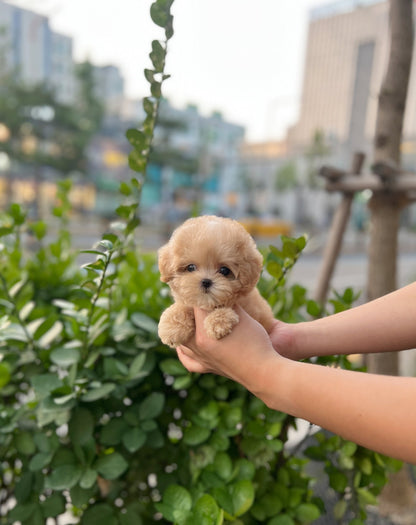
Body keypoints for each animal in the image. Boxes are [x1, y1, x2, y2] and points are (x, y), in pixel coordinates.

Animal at [158, 215, 274, 350]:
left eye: (224, 270)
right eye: (191, 267)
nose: (206, 281)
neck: (208, 305)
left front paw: (218, 322)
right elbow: (182, 306)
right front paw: (171, 327)